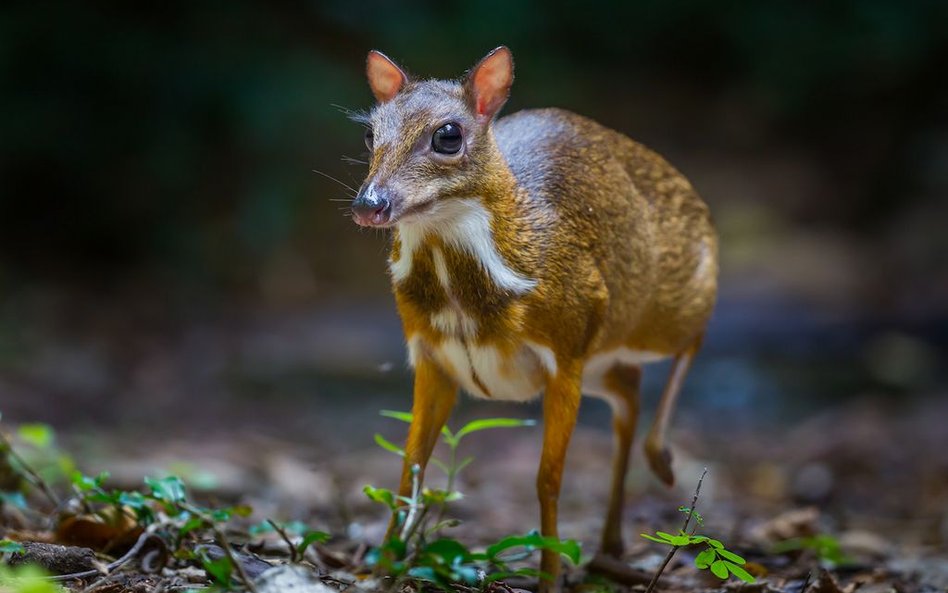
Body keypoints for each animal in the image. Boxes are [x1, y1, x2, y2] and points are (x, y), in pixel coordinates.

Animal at [350, 45, 720, 588]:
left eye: (448, 135)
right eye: (370, 133)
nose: (370, 204)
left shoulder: (567, 348)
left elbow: (548, 479)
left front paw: (548, 577)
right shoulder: (430, 354)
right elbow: (408, 467)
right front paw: (384, 568)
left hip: (665, 308)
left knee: (693, 338)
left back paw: (663, 463)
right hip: (602, 359)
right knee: (629, 392)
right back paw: (612, 542)